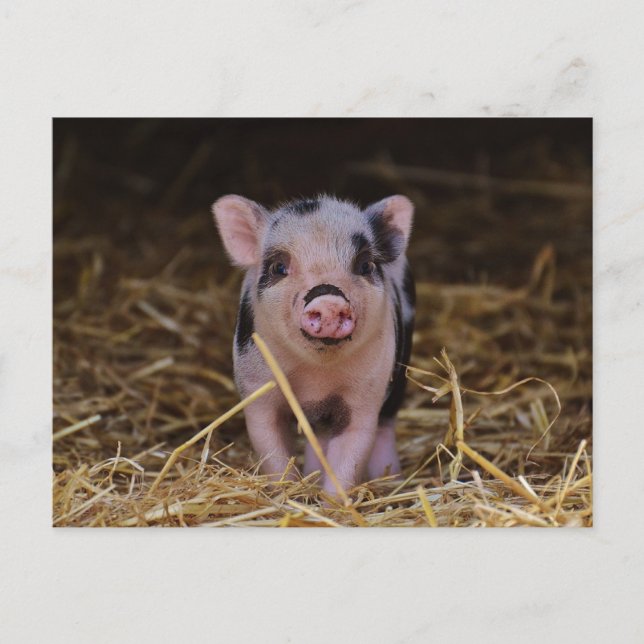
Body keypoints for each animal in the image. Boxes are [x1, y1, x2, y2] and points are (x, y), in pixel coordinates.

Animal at [212, 194, 415, 497]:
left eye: (365, 266)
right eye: (279, 267)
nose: (329, 300)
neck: (316, 379)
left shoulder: (365, 396)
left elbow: (350, 455)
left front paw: (332, 504)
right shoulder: (257, 389)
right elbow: (272, 452)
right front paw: (287, 495)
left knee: (385, 425)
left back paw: (390, 481)